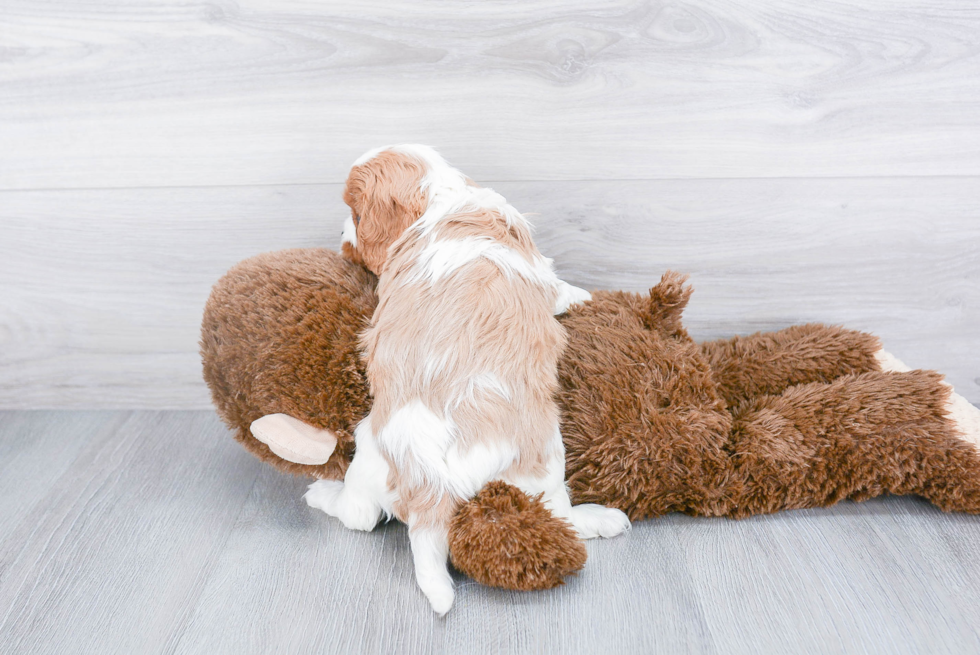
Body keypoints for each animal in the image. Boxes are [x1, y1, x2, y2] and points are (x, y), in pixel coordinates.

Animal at [302, 146, 632, 616]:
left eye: (356, 215)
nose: (341, 232)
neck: (443, 197)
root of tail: (432, 482)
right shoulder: (536, 265)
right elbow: (556, 287)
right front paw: (580, 295)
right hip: (538, 456)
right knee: (555, 511)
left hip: (377, 450)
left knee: (360, 515)